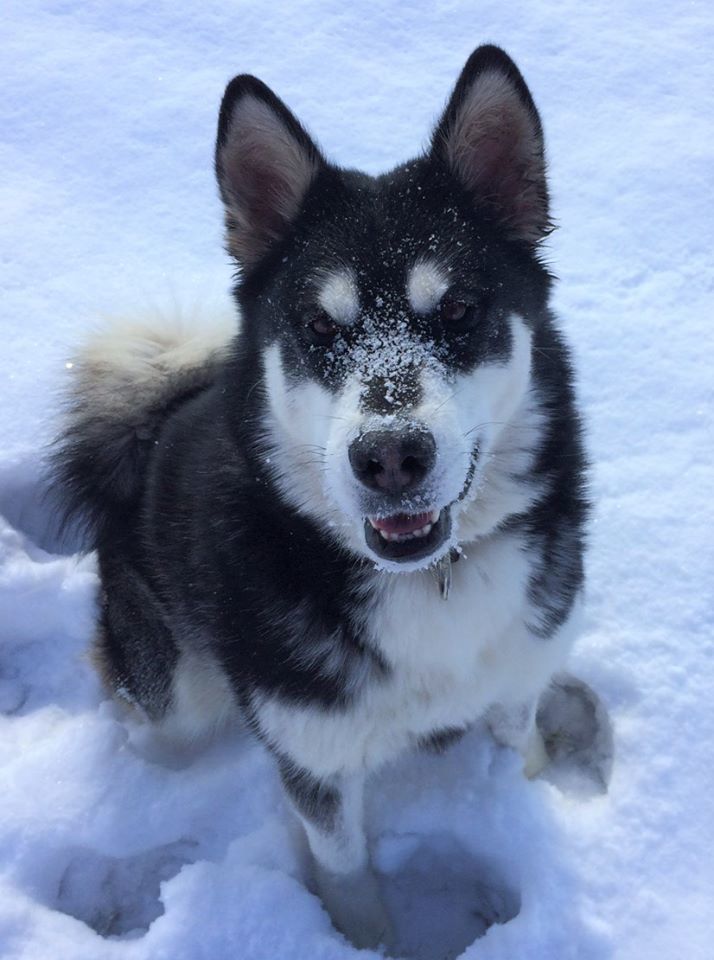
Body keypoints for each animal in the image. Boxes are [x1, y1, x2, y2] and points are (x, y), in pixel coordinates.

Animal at [54, 43, 584, 944]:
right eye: (321, 327)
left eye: (460, 309)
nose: (391, 457)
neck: (425, 585)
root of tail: (149, 433)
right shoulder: (315, 761)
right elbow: (347, 877)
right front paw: (365, 943)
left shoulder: (520, 674)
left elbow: (519, 754)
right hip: (175, 685)